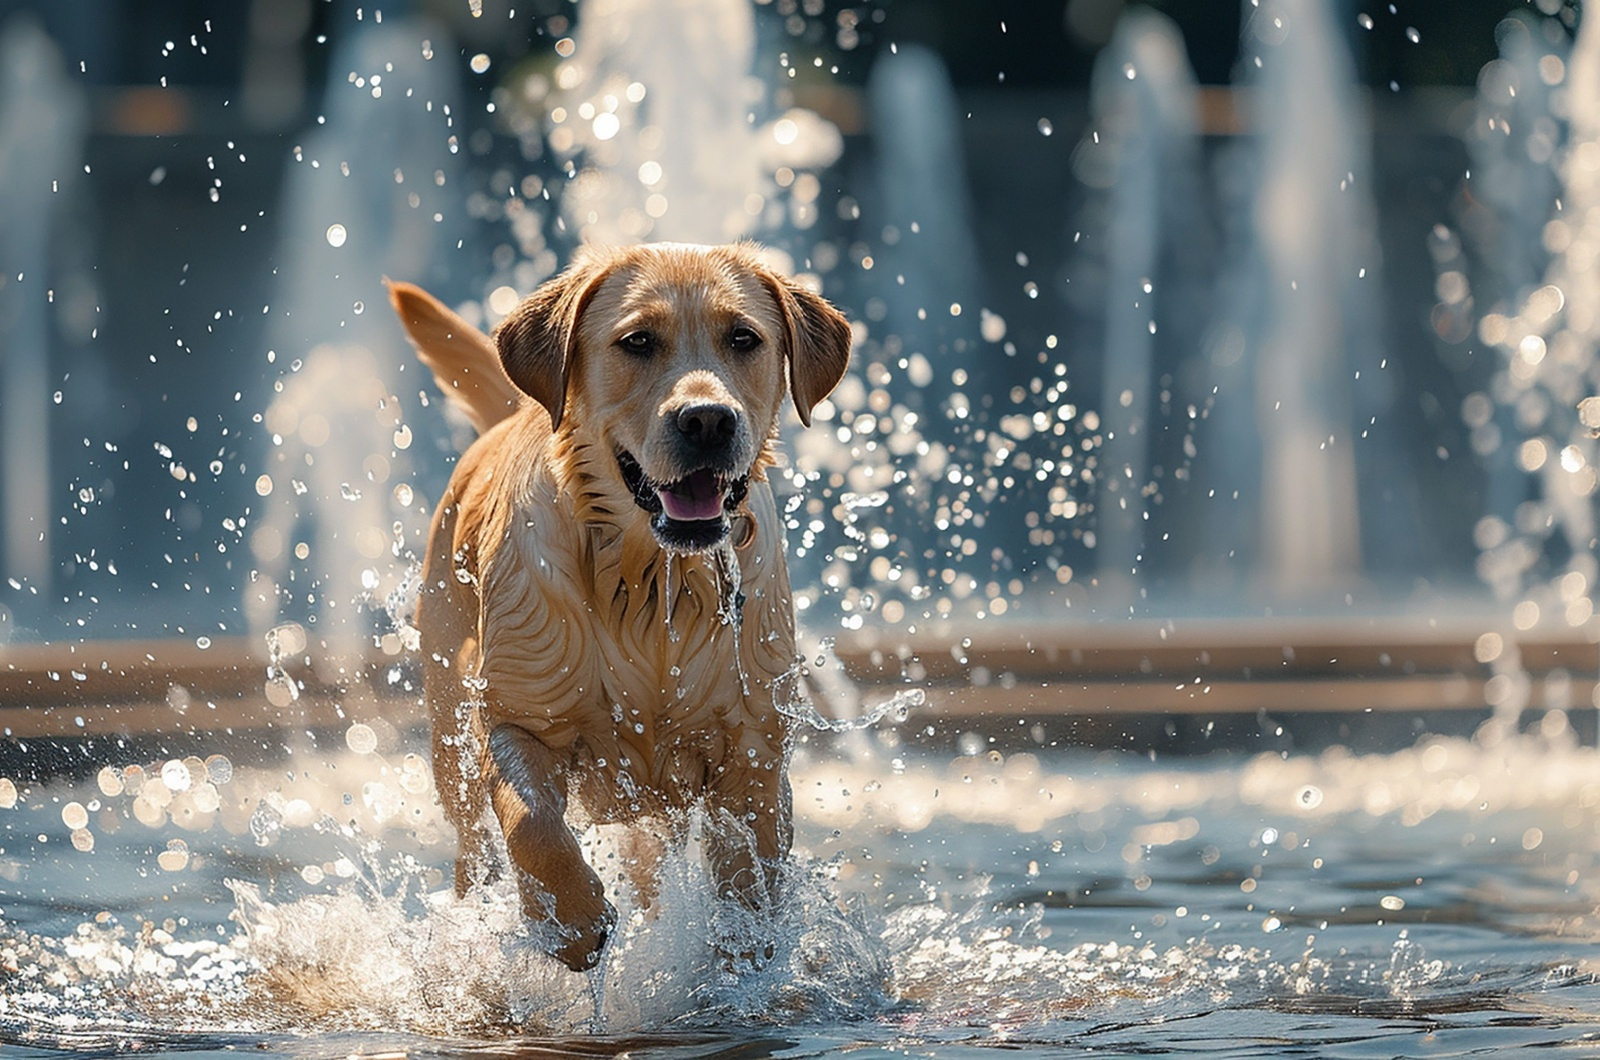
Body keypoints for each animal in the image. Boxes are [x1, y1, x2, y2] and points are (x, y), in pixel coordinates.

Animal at [387, 243, 851, 973]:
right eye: (637, 342)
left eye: (743, 339)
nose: (707, 419)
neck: (652, 581)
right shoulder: (521, 717)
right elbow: (533, 825)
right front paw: (573, 923)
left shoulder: (754, 750)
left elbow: (750, 875)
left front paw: (739, 963)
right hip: (448, 735)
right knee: (474, 847)